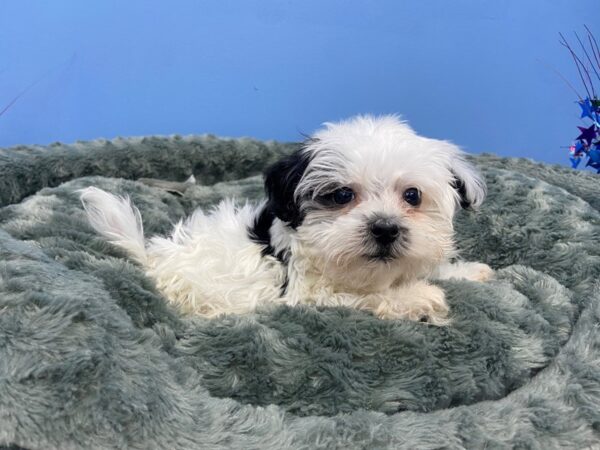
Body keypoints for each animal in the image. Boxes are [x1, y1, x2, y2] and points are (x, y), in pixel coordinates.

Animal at [81, 114, 492, 326]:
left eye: (412, 196)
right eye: (342, 195)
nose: (385, 228)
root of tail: (155, 261)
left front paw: (464, 272)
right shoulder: (310, 294)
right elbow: (367, 297)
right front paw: (419, 296)